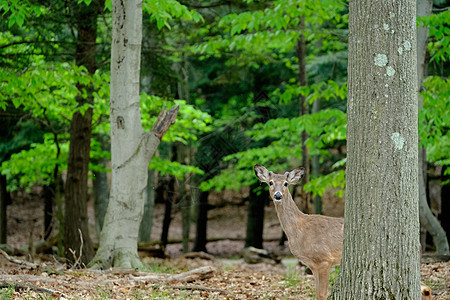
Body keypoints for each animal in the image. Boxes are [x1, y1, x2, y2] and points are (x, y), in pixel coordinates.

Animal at [253, 165, 344, 298]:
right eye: (270, 182)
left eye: (286, 183)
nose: (278, 195)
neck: (300, 231)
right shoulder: (313, 265)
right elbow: (317, 292)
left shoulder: (324, 259)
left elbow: (322, 294)